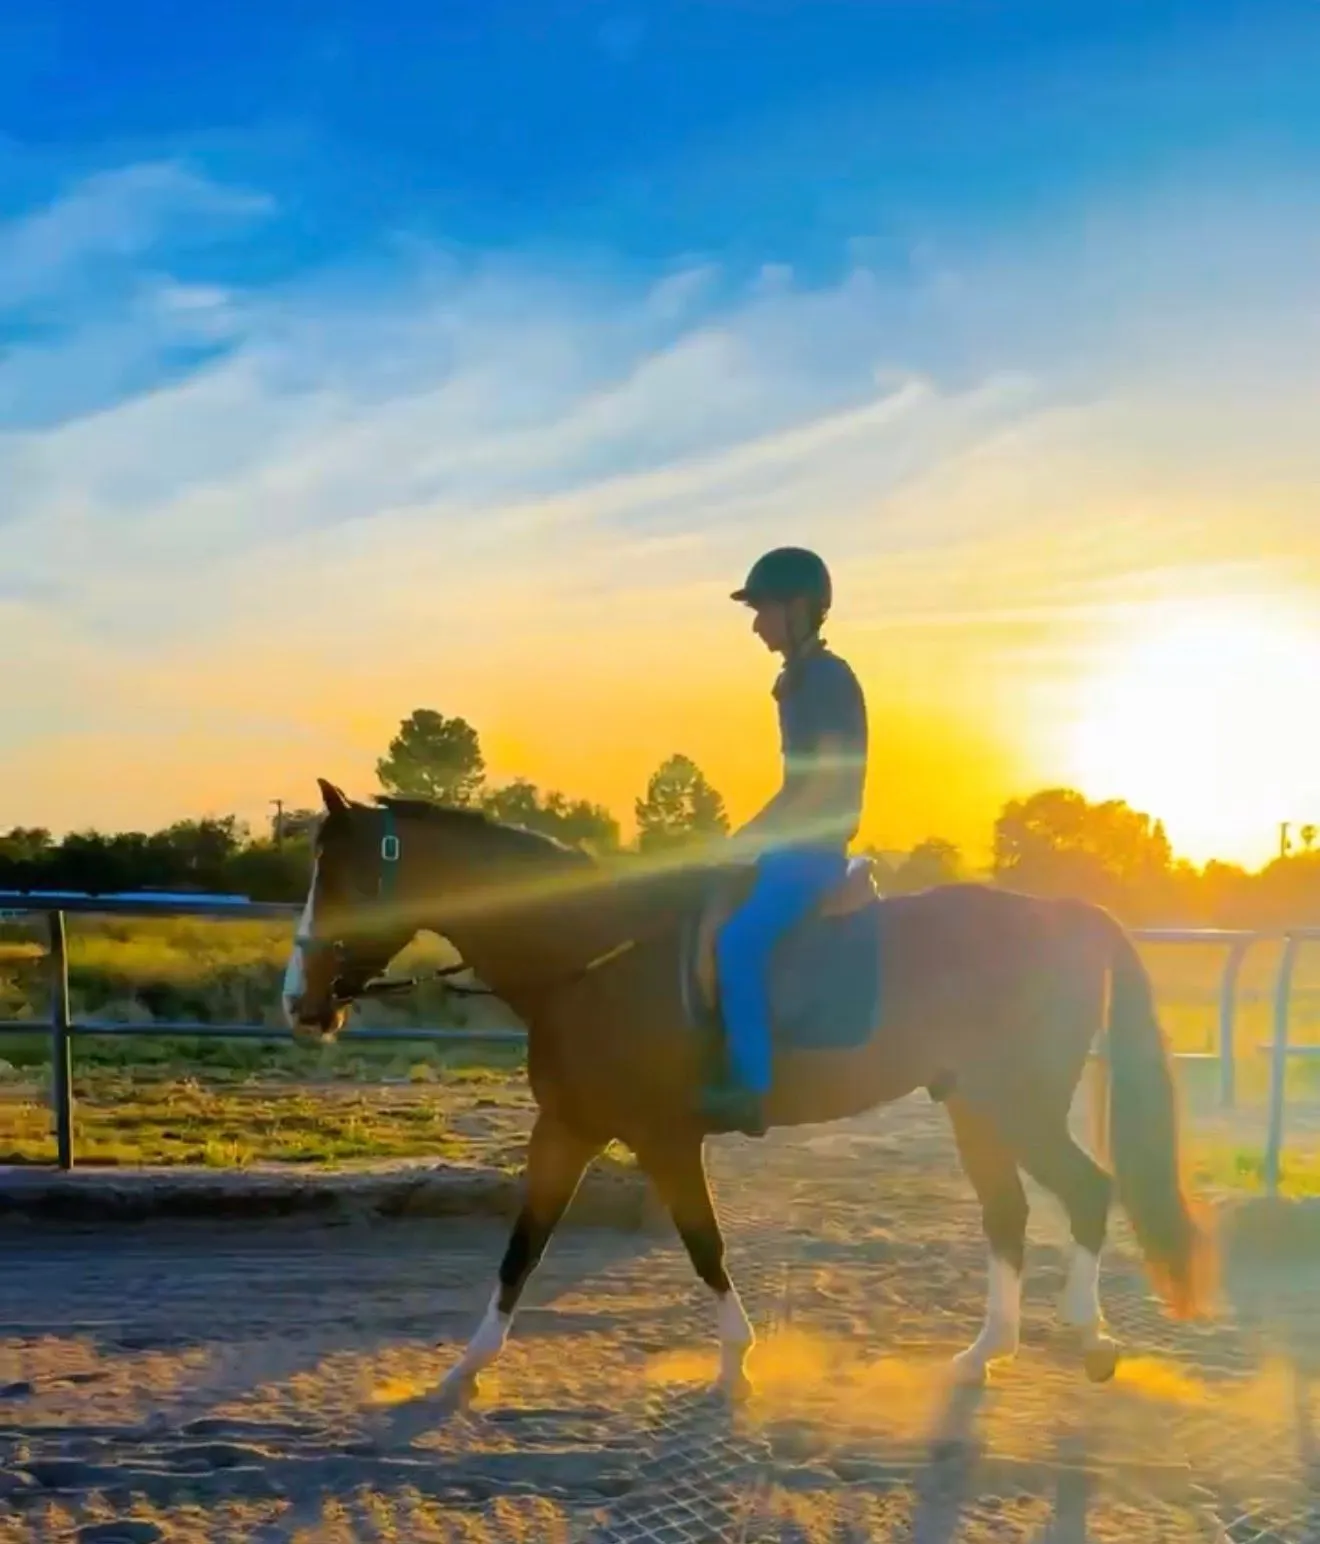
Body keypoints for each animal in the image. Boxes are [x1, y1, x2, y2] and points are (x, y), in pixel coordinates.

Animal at [283, 778, 1214, 1403]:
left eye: (346, 878)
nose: (299, 999)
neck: (592, 958)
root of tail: (1066, 914)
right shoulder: (569, 1127)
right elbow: (524, 1246)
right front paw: (462, 1370)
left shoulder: (660, 1137)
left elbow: (704, 1242)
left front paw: (738, 1358)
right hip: (974, 1107)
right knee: (1009, 1215)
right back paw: (985, 1354)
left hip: (1017, 1105)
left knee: (1087, 1192)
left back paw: (1089, 1339)